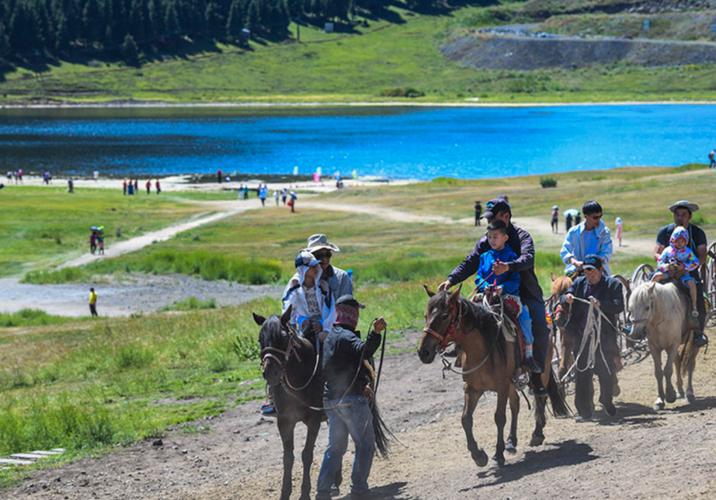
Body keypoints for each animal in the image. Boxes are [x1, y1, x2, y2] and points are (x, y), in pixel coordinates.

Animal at [253, 304, 324, 500]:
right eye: (260, 339)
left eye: (284, 337)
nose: (271, 373)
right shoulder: (285, 421)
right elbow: (288, 457)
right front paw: (285, 492)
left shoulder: (314, 420)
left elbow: (307, 454)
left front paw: (305, 492)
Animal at [416, 288, 568, 466]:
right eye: (425, 315)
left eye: (445, 315)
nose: (423, 352)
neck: (480, 349)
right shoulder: (472, 389)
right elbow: (465, 419)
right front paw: (478, 455)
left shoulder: (501, 387)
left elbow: (499, 417)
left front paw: (498, 454)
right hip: (511, 382)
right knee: (516, 403)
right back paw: (511, 441)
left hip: (541, 372)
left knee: (540, 397)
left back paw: (537, 434)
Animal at [628, 282, 700, 410]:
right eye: (630, 309)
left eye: (647, 307)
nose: (635, 334)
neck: (660, 320)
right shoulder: (654, 348)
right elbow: (658, 372)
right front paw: (660, 400)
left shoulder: (672, 346)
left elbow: (667, 370)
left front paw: (670, 395)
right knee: (677, 362)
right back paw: (680, 390)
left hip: (693, 342)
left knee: (690, 364)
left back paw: (689, 392)